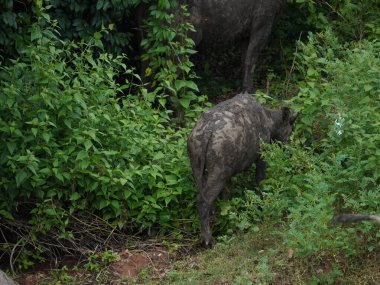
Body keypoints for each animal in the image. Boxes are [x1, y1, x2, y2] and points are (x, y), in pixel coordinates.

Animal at [189, 93, 298, 246]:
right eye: (291, 127)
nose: (288, 147)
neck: (271, 122)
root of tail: (206, 134)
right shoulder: (262, 154)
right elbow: (259, 182)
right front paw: (262, 204)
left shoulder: (230, 171)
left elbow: (227, 194)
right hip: (219, 170)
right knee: (203, 200)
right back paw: (208, 239)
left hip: (198, 166)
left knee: (202, 194)